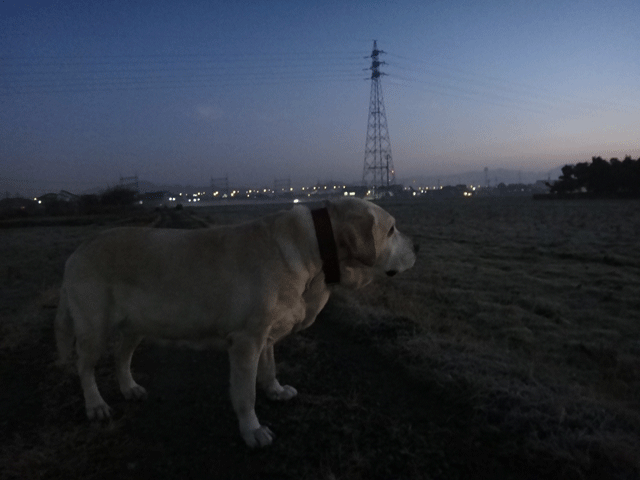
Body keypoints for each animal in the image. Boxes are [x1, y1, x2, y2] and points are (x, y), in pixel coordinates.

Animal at [53, 198, 416, 446]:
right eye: (392, 229)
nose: (417, 246)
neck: (314, 248)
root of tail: (77, 250)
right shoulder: (246, 340)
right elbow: (245, 393)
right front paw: (252, 430)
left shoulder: (265, 335)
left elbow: (269, 368)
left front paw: (275, 390)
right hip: (93, 327)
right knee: (85, 367)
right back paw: (96, 406)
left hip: (137, 324)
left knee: (121, 356)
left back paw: (129, 388)